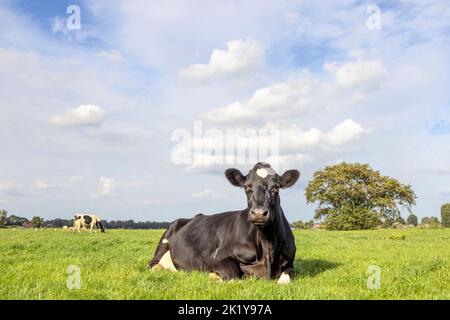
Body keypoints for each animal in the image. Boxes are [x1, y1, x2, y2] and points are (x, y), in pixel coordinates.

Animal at [149, 162, 300, 284]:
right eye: (246, 186)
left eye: (276, 187)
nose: (258, 213)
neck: (267, 246)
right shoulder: (220, 257)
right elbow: (234, 278)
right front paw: (214, 276)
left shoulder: (290, 264)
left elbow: (285, 280)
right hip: (164, 241)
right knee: (154, 265)